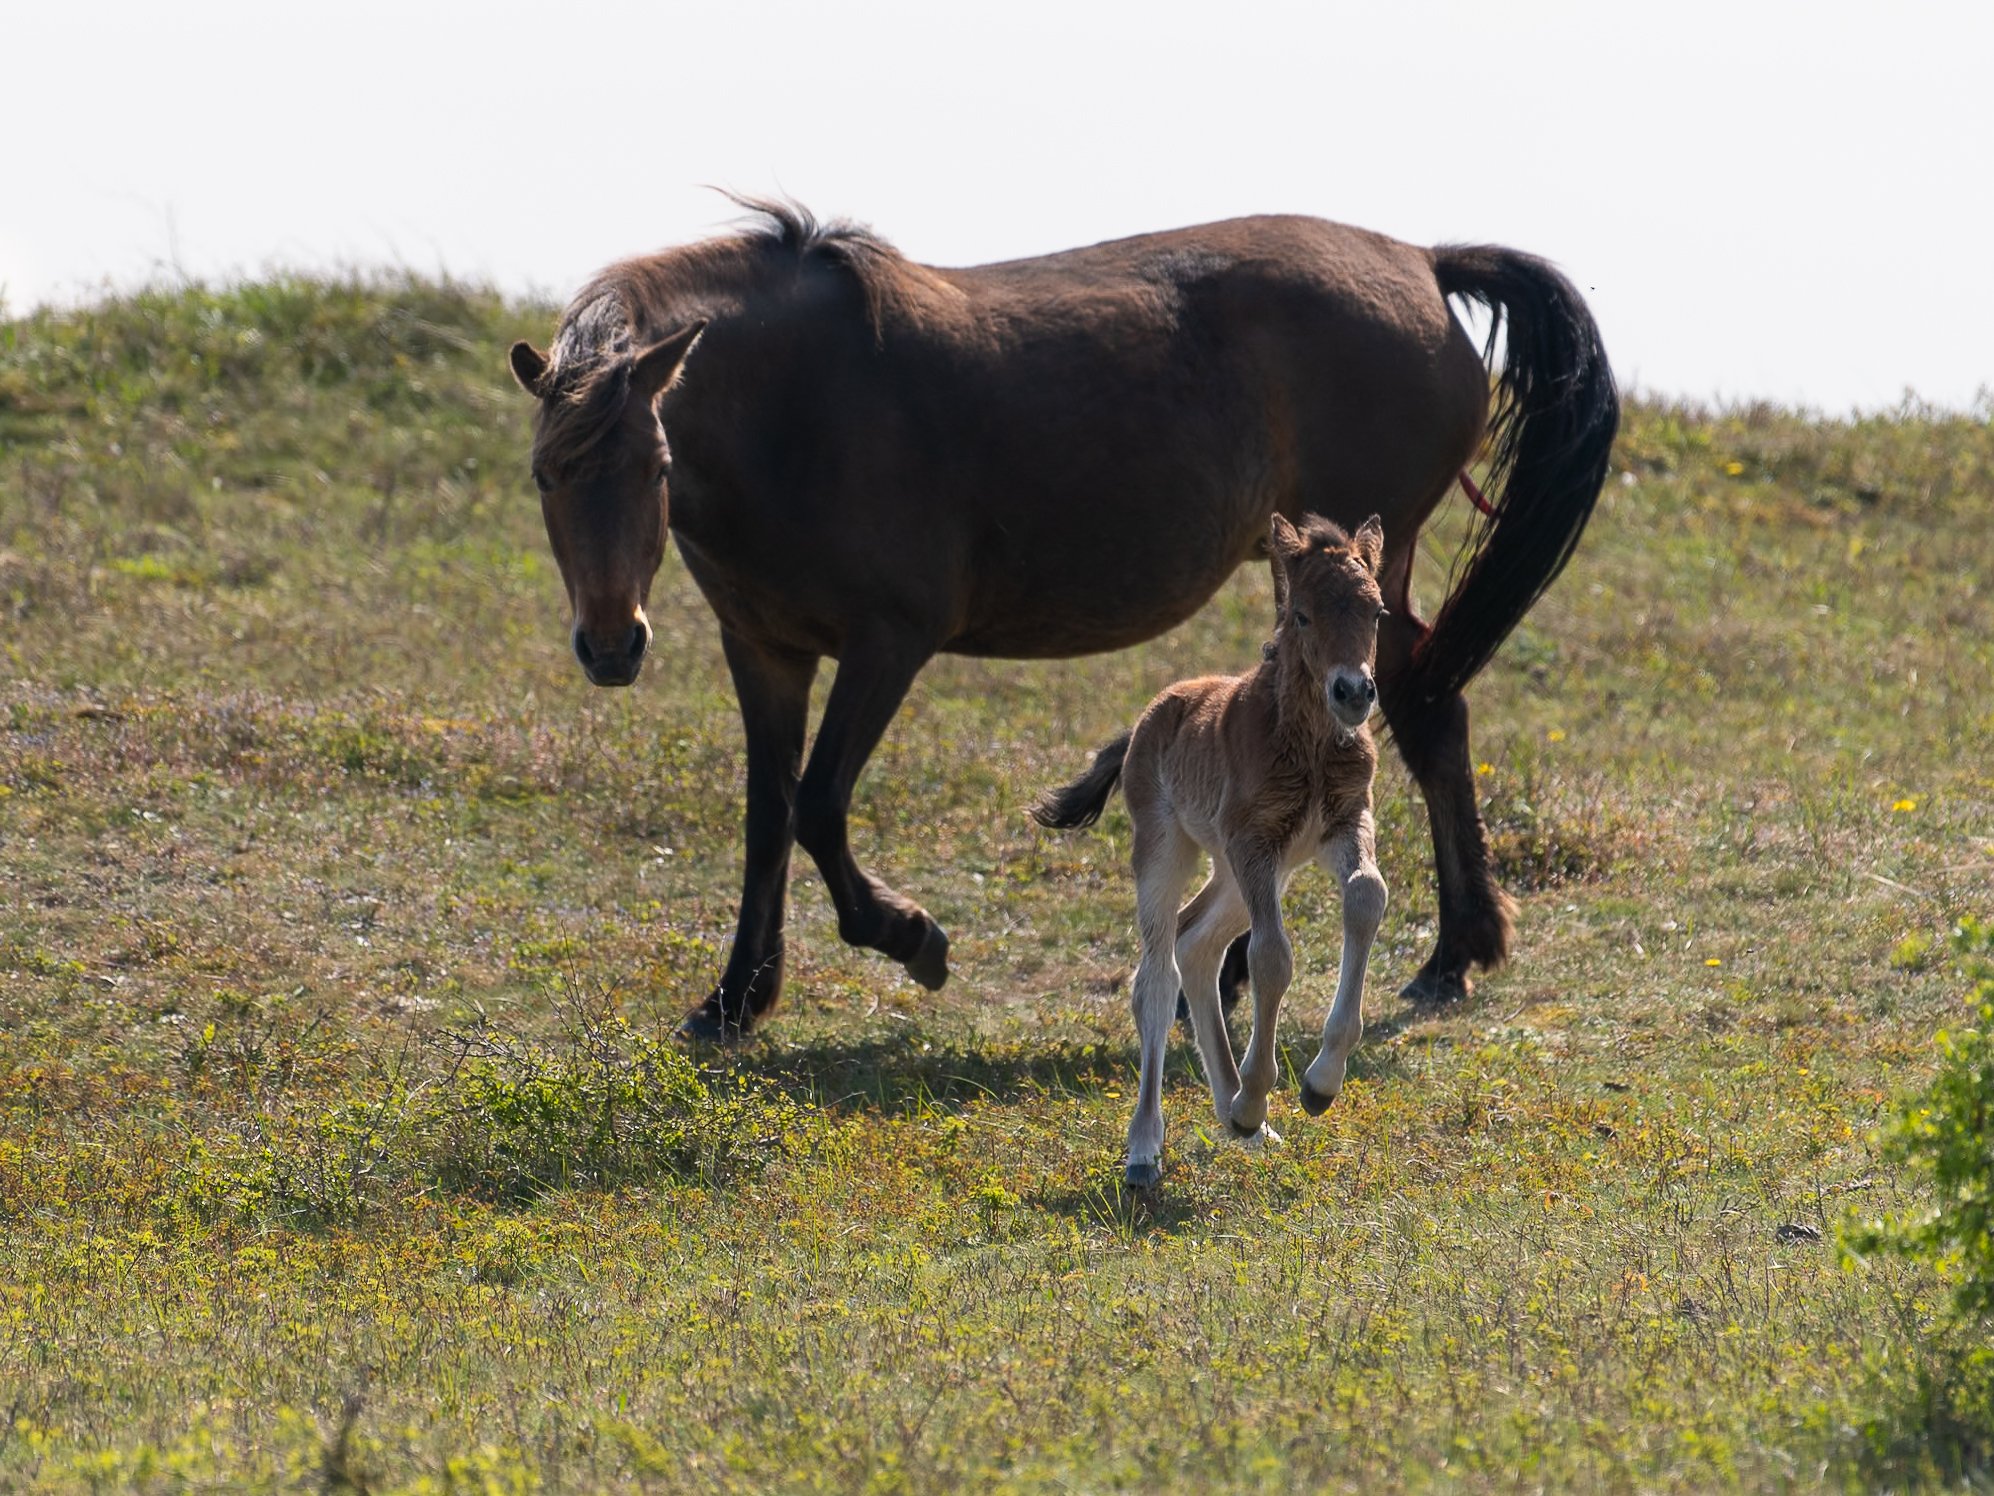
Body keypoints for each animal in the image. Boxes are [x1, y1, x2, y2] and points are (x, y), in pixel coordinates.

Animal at [506, 198, 1618, 1040]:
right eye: (544, 475)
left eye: (654, 464)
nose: (611, 644)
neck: (799, 410)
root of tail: (1421, 263)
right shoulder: (766, 650)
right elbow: (766, 816)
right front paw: (735, 998)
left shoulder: (887, 644)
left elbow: (818, 806)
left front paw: (913, 938)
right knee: (1425, 708)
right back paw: (1444, 950)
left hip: (1345, 569)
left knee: (1410, 709)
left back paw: (1351, 963)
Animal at [1032, 512, 1389, 1186]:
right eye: (1301, 615)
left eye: (1377, 611)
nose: (1354, 692)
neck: (1307, 743)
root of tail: (1146, 720)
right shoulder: (1254, 838)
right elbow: (1272, 955)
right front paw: (1261, 1090)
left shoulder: (1340, 824)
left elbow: (1366, 895)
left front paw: (1318, 1085)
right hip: (1168, 847)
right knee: (1156, 975)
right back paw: (1147, 1148)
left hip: (1242, 871)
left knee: (1197, 944)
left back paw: (1242, 1120)